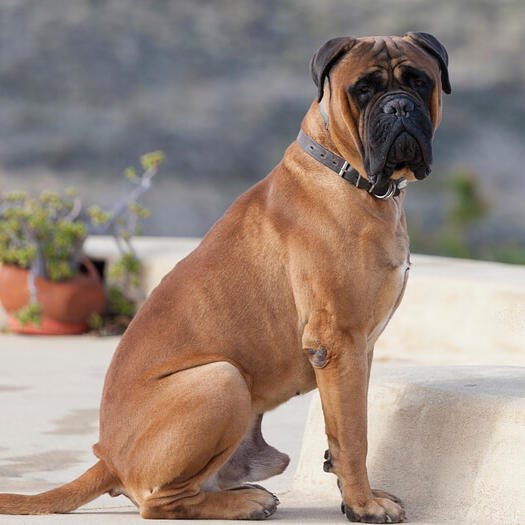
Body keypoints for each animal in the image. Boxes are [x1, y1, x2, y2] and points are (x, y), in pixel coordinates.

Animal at [0, 31, 450, 520]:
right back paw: (245, 502)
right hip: (221, 379)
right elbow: (353, 437)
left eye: (419, 81)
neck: (347, 170)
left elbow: (349, 426)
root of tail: (110, 460)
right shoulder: (336, 343)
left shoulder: (358, 350)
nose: (398, 106)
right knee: (160, 502)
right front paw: (363, 505)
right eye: (364, 89)